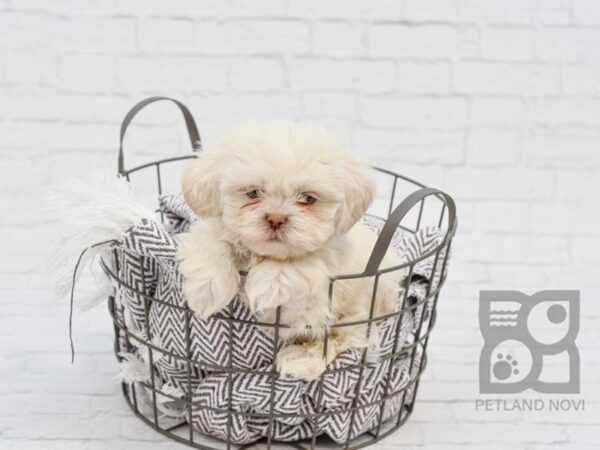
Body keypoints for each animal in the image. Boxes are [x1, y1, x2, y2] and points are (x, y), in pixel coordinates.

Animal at [176, 122, 406, 380]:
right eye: (253, 192)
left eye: (308, 198)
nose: (276, 219)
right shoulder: (216, 227)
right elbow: (213, 239)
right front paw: (207, 289)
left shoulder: (312, 302)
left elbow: (302, 262)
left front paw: (270, 284)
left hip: (367, 303)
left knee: (345, 336)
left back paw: (302, 358)